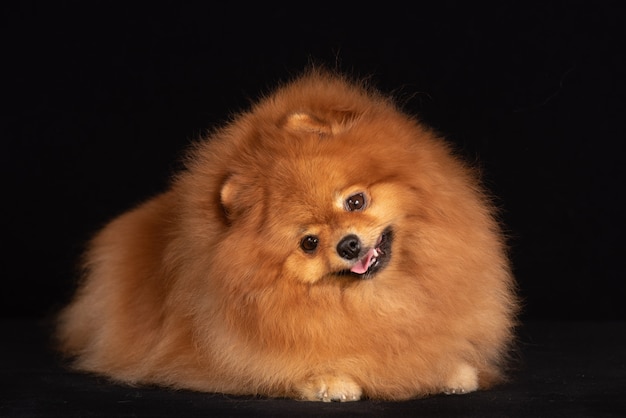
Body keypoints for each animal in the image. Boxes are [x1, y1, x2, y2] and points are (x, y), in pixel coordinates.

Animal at [57, 68, 516, 402]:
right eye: (308, 243)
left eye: (355, 201)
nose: (348, 244)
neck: (383, 299)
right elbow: (280, 369)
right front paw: (329, 381)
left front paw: (454, 369)